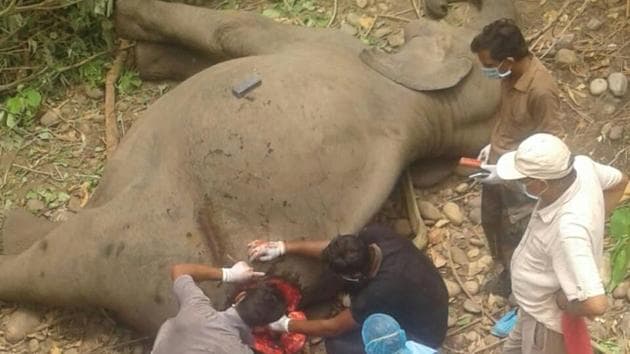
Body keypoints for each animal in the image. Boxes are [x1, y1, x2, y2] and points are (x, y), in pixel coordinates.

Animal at [0, 0, 516, 336]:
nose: (447, 7)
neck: (434, 114)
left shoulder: (325, 45)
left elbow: (232, 28)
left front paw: (125, 22)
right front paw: (148, 58)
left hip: (126, 243)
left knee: (52, 255)